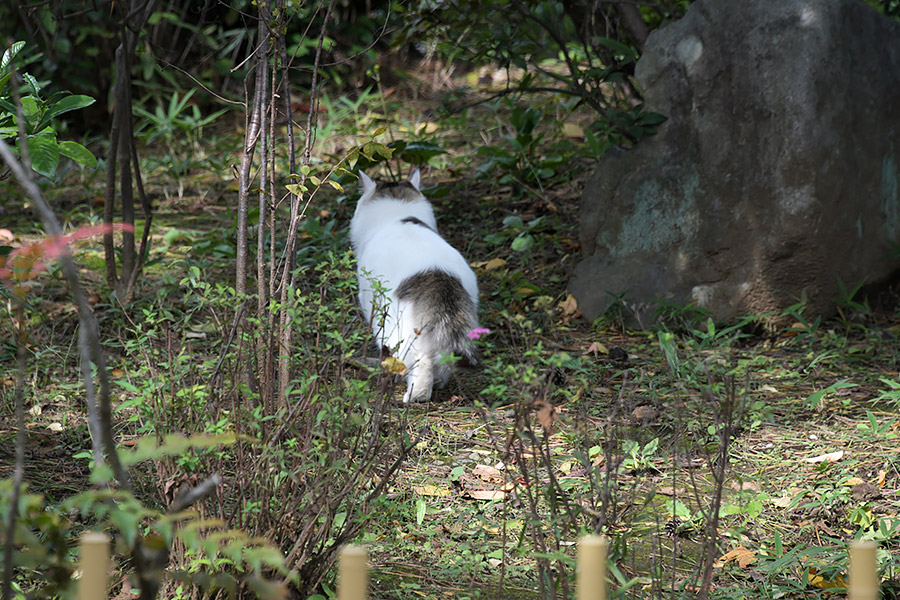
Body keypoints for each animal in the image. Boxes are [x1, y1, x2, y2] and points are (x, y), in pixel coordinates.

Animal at [350, 169, 482, 404]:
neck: (397, 218)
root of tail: (438, 278)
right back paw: (438, 384)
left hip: (399, 333)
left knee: (421, 364)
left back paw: (414, 395)